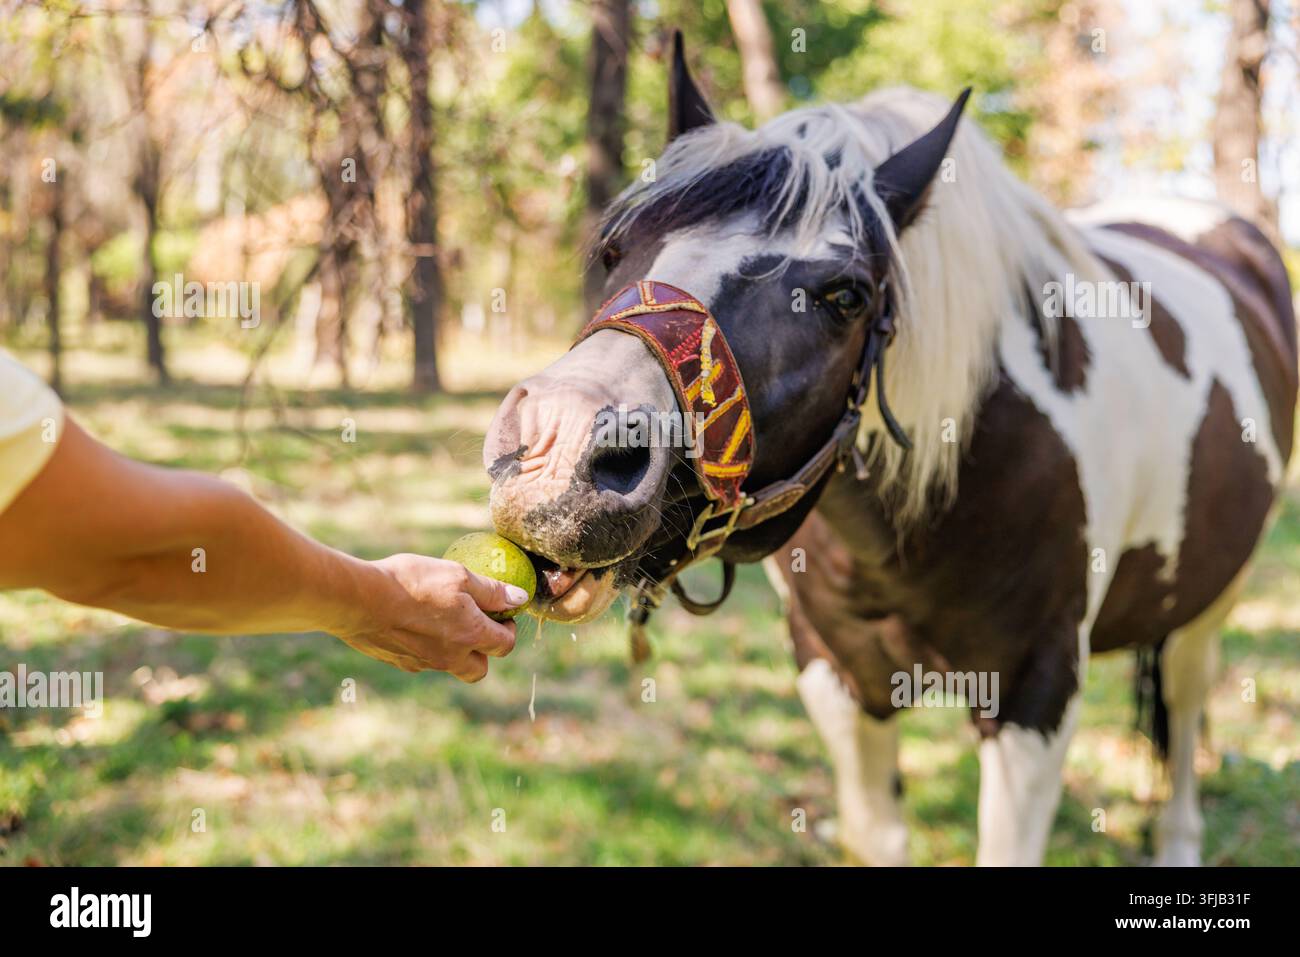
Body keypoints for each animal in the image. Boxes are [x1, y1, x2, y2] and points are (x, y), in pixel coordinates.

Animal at [482, 34, 1297, 866]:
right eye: (615, 250)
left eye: (846, 296)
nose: (557, 449)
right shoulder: (836, 675)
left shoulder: (1036, 695)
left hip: (1211, 596)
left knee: (1185, 699)